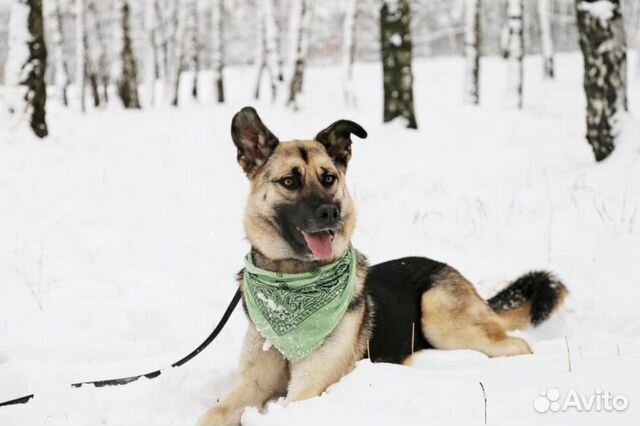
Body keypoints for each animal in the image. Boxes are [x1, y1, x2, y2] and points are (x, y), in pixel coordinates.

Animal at [198, 105, 568, 422]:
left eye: (328, 178)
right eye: (290, 181)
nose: (330, 213)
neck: (292, 281)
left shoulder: (309, 388)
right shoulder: (252, 384)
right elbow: (212, 413)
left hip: (440, 317)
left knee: (519, 345)